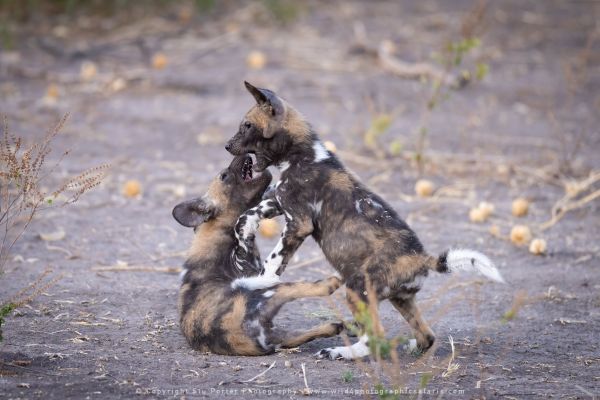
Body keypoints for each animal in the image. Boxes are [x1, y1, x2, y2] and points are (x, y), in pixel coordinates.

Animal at [171, 155, 344, 354]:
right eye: (224, 176)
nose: (242, 155)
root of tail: (241, 336)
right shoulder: (248, 264)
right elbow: (246, 228)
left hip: (280, 334)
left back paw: (336, 326)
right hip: (267, 291)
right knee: (316, 287)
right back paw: (337, 279)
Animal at [225, 81, 506, 360]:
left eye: (246, 126)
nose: (227, 146)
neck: (301, 155)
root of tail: (422, 258)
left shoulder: (299, 223)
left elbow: (273, 263)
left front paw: (260, 283)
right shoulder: (278, 201)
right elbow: (245, 217)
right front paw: (245, 244)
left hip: (356, 290)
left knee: (375, 338)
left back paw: (340, 352)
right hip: (400, 299)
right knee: (426, 336)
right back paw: (411, 347)